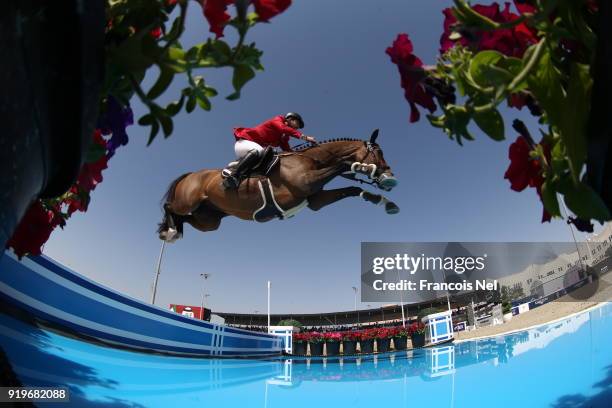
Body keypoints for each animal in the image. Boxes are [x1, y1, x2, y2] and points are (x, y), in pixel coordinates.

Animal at [155, 129, 400, 241]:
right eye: (378, 153)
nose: (390, 177)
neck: (312, 159)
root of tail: (191, 175)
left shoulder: (316, 200)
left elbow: (354, 189)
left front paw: (388, 204)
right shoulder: (306, 183)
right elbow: (342, 165)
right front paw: (361, 167)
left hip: (209, 219)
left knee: (187, 220)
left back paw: (173, 231)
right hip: (188, 201)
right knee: (169, 207)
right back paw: (169, 230)